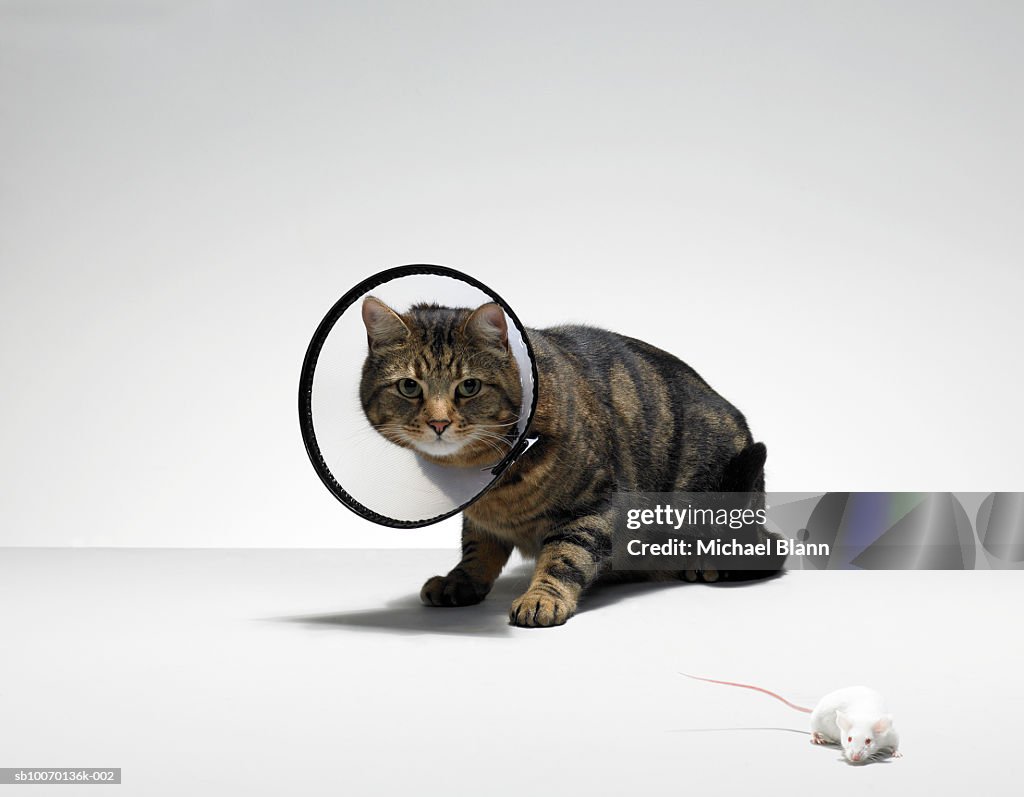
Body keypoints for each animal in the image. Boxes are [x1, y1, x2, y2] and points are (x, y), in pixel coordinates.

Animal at [360, 295, 774, 622]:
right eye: (409, 386)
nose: (439, 422)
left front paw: (542, 597)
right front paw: (460, 580)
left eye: (469, 387)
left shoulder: (596, 506)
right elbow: (477, 547)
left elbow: (566, 555)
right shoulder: (480, 519)